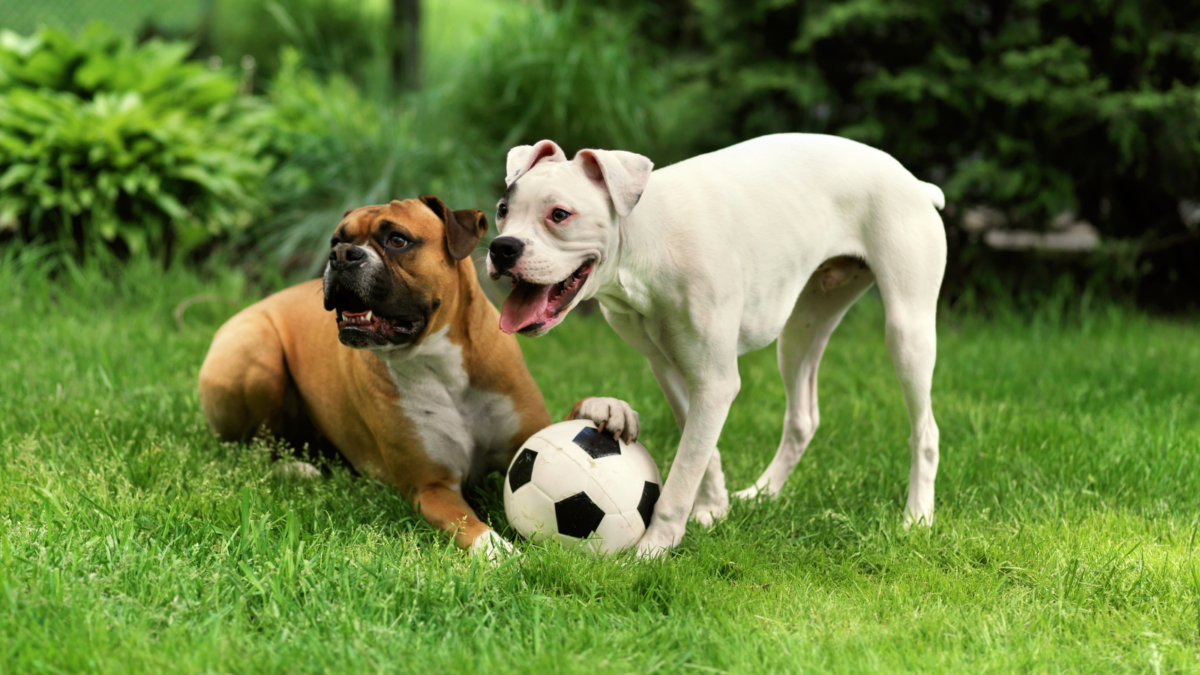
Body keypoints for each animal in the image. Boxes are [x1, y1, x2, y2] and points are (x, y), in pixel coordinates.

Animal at [198, 196, 552, 554]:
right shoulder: (432, 488)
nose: (342, 255)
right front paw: (507, 557)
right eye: (336, 241)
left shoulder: (526, 442)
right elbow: (477, 531)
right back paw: (295, 468)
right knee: (255, 448)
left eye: (397, 240)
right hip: (258, 348)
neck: (441, 364)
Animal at [487, 133, 945, 554]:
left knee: (925, 432)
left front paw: (653, 550)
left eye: (559, 214)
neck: (648, 243)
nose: (502, 247)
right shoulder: (671, 371)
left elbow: (681, 475)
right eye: (503, 210)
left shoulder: (714, 381)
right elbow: (702, 453)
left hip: (907, 333)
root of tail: (917, 183)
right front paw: (714, 509)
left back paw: (917, 518)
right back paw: (762, 494)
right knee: (803, 418)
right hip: (800, 333)